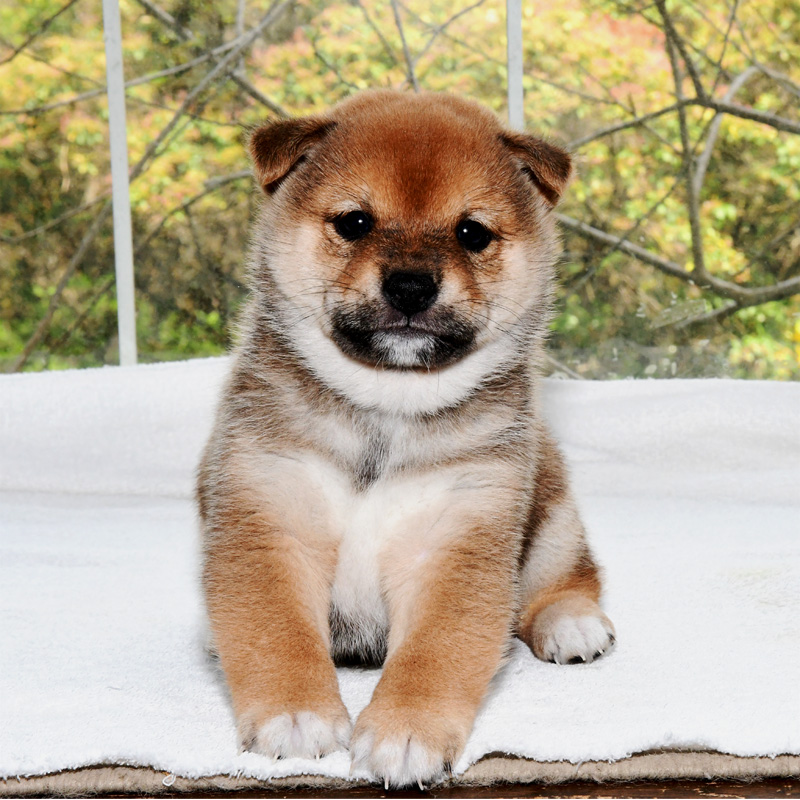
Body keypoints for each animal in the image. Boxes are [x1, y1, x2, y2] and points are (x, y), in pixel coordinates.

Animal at [197, 89, 616, 788]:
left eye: (471, 232)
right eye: (355, 222)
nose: (412, 285)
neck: (385, 410)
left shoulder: (458, 539)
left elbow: (436, 653)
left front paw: (406, 731)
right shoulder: (269, 519)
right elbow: (275, 634)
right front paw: (296, 715)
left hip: (550, 510)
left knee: (567, 575)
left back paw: (572, 624)